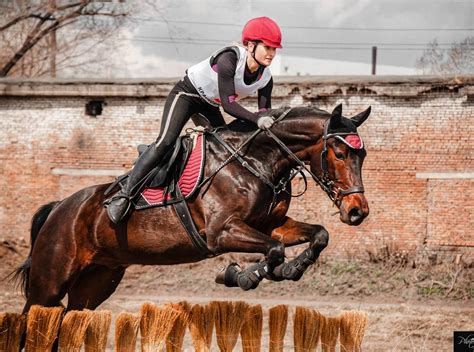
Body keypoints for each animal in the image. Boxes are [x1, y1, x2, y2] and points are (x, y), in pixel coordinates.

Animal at [12, 102, 370, 314]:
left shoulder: (269, 224)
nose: (358, 211)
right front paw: (242, 276)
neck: (255, 162)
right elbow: (274, 250)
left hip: (95, 284)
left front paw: (290, 270)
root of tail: (59, 208)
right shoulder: (221, 232)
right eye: (340, 154)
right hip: (48, 285)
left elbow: (317, 236)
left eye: (362, 155)